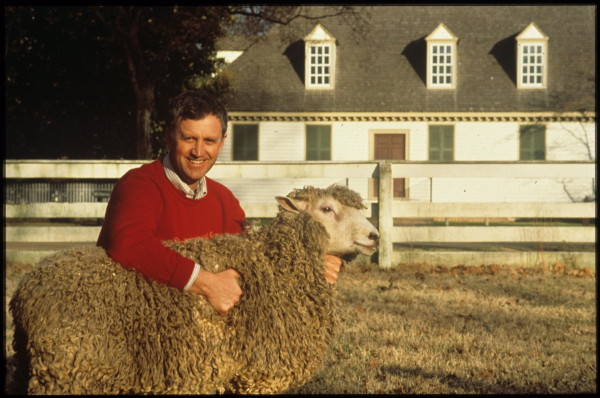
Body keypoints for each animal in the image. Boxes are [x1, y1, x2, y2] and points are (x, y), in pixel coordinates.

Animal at [10, 184, 380, 394]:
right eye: (327, 209)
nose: (374, 235)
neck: (277, 267)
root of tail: (27, 291)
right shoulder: (259, 374)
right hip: (70, 373)